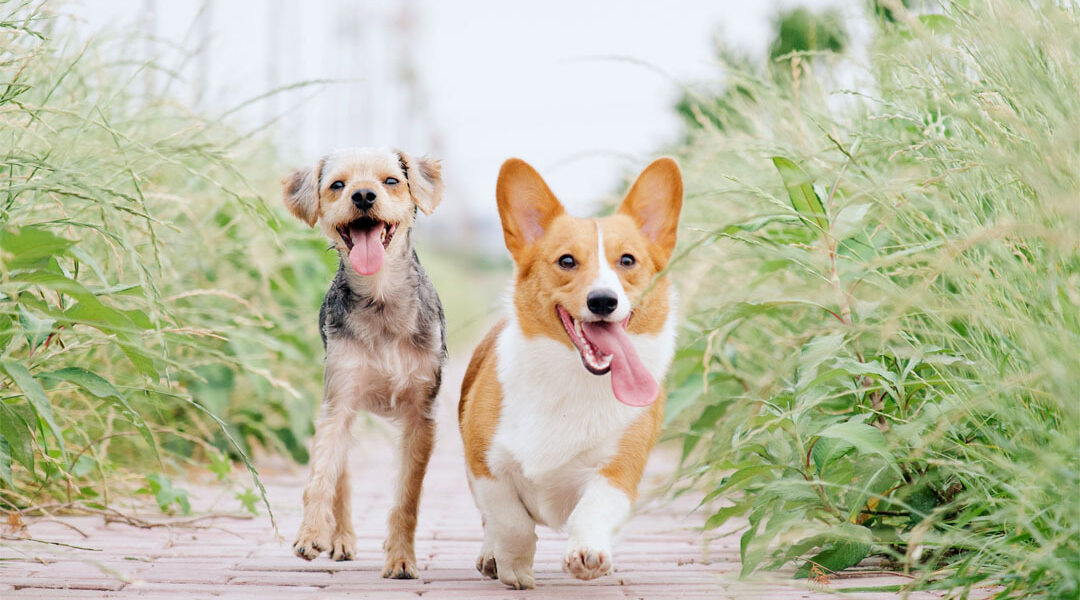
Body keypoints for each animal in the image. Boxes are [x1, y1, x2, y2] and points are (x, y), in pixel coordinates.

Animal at [282, 146, 447, 582]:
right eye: (337, 185)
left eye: (391, 180)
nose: (363, 196)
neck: (381, 296)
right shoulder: (339, 400)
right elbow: (321, 476)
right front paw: (311, 533)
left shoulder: (420, 416)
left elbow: (407, 496)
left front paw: (401, 558)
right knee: (341, 476)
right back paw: (339, 538)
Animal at [457, 157, 678, 587]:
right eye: (566, 261)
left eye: (628, 260)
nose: (603, 301)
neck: (574, 378)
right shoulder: (485, 466)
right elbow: (511, 523)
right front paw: (514, 567)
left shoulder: (618, 471)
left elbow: (592, 510)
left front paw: (588, 554)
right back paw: (490, 556)